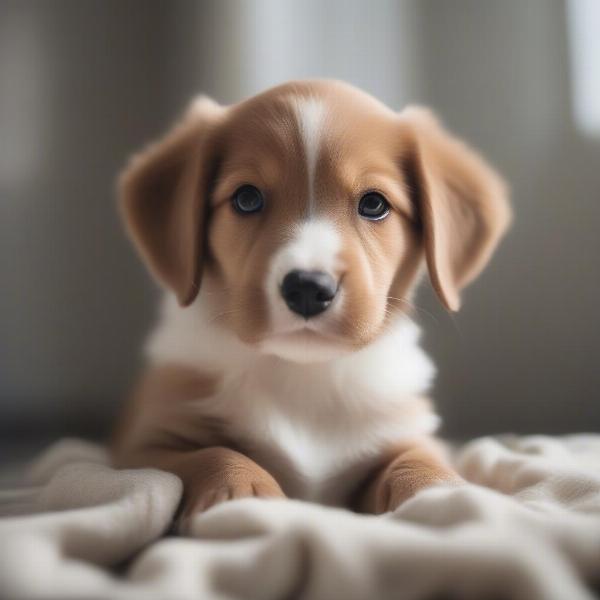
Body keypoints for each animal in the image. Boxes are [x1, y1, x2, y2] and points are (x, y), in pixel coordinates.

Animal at [110, 79, 508, 528]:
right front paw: (243, 495)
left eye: (374, 203)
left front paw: (444, 494)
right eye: (247, 198)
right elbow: (213, 453)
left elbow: (417, 461)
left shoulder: (404, 432)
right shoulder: (141, 447)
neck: (305, 375)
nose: (307, 288)